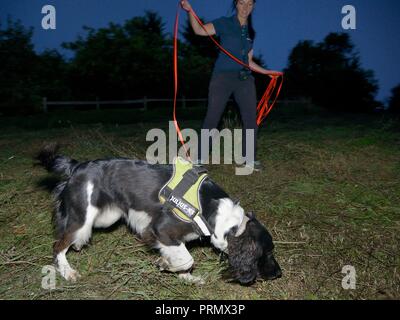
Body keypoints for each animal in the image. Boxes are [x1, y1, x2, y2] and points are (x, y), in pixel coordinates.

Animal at [36, 144, 282, 284]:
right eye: (267, 253)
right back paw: (67, 272)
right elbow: (187, 258)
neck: (215, 212)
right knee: (58, 245)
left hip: (106, 218)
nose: (279, 273)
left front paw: (185, 277)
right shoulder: (159, 230)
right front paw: (165, 265)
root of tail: (77, 166)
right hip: (82, 219)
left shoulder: (175, 238)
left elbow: (184, 258)